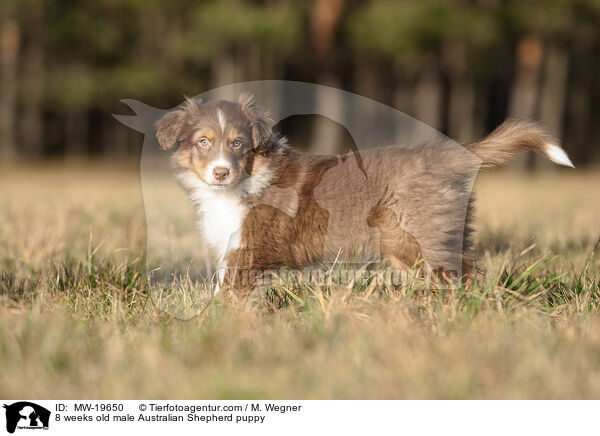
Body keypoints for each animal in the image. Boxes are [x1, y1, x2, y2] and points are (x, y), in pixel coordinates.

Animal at [154, 94, 572, 292]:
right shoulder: (232, 246)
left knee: (456, 274)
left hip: (413, 234)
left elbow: (230, 292)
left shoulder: (250, 248)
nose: (221, 172)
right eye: (204, 141)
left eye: (238, 143)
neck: (246, 179)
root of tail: (445, 152)